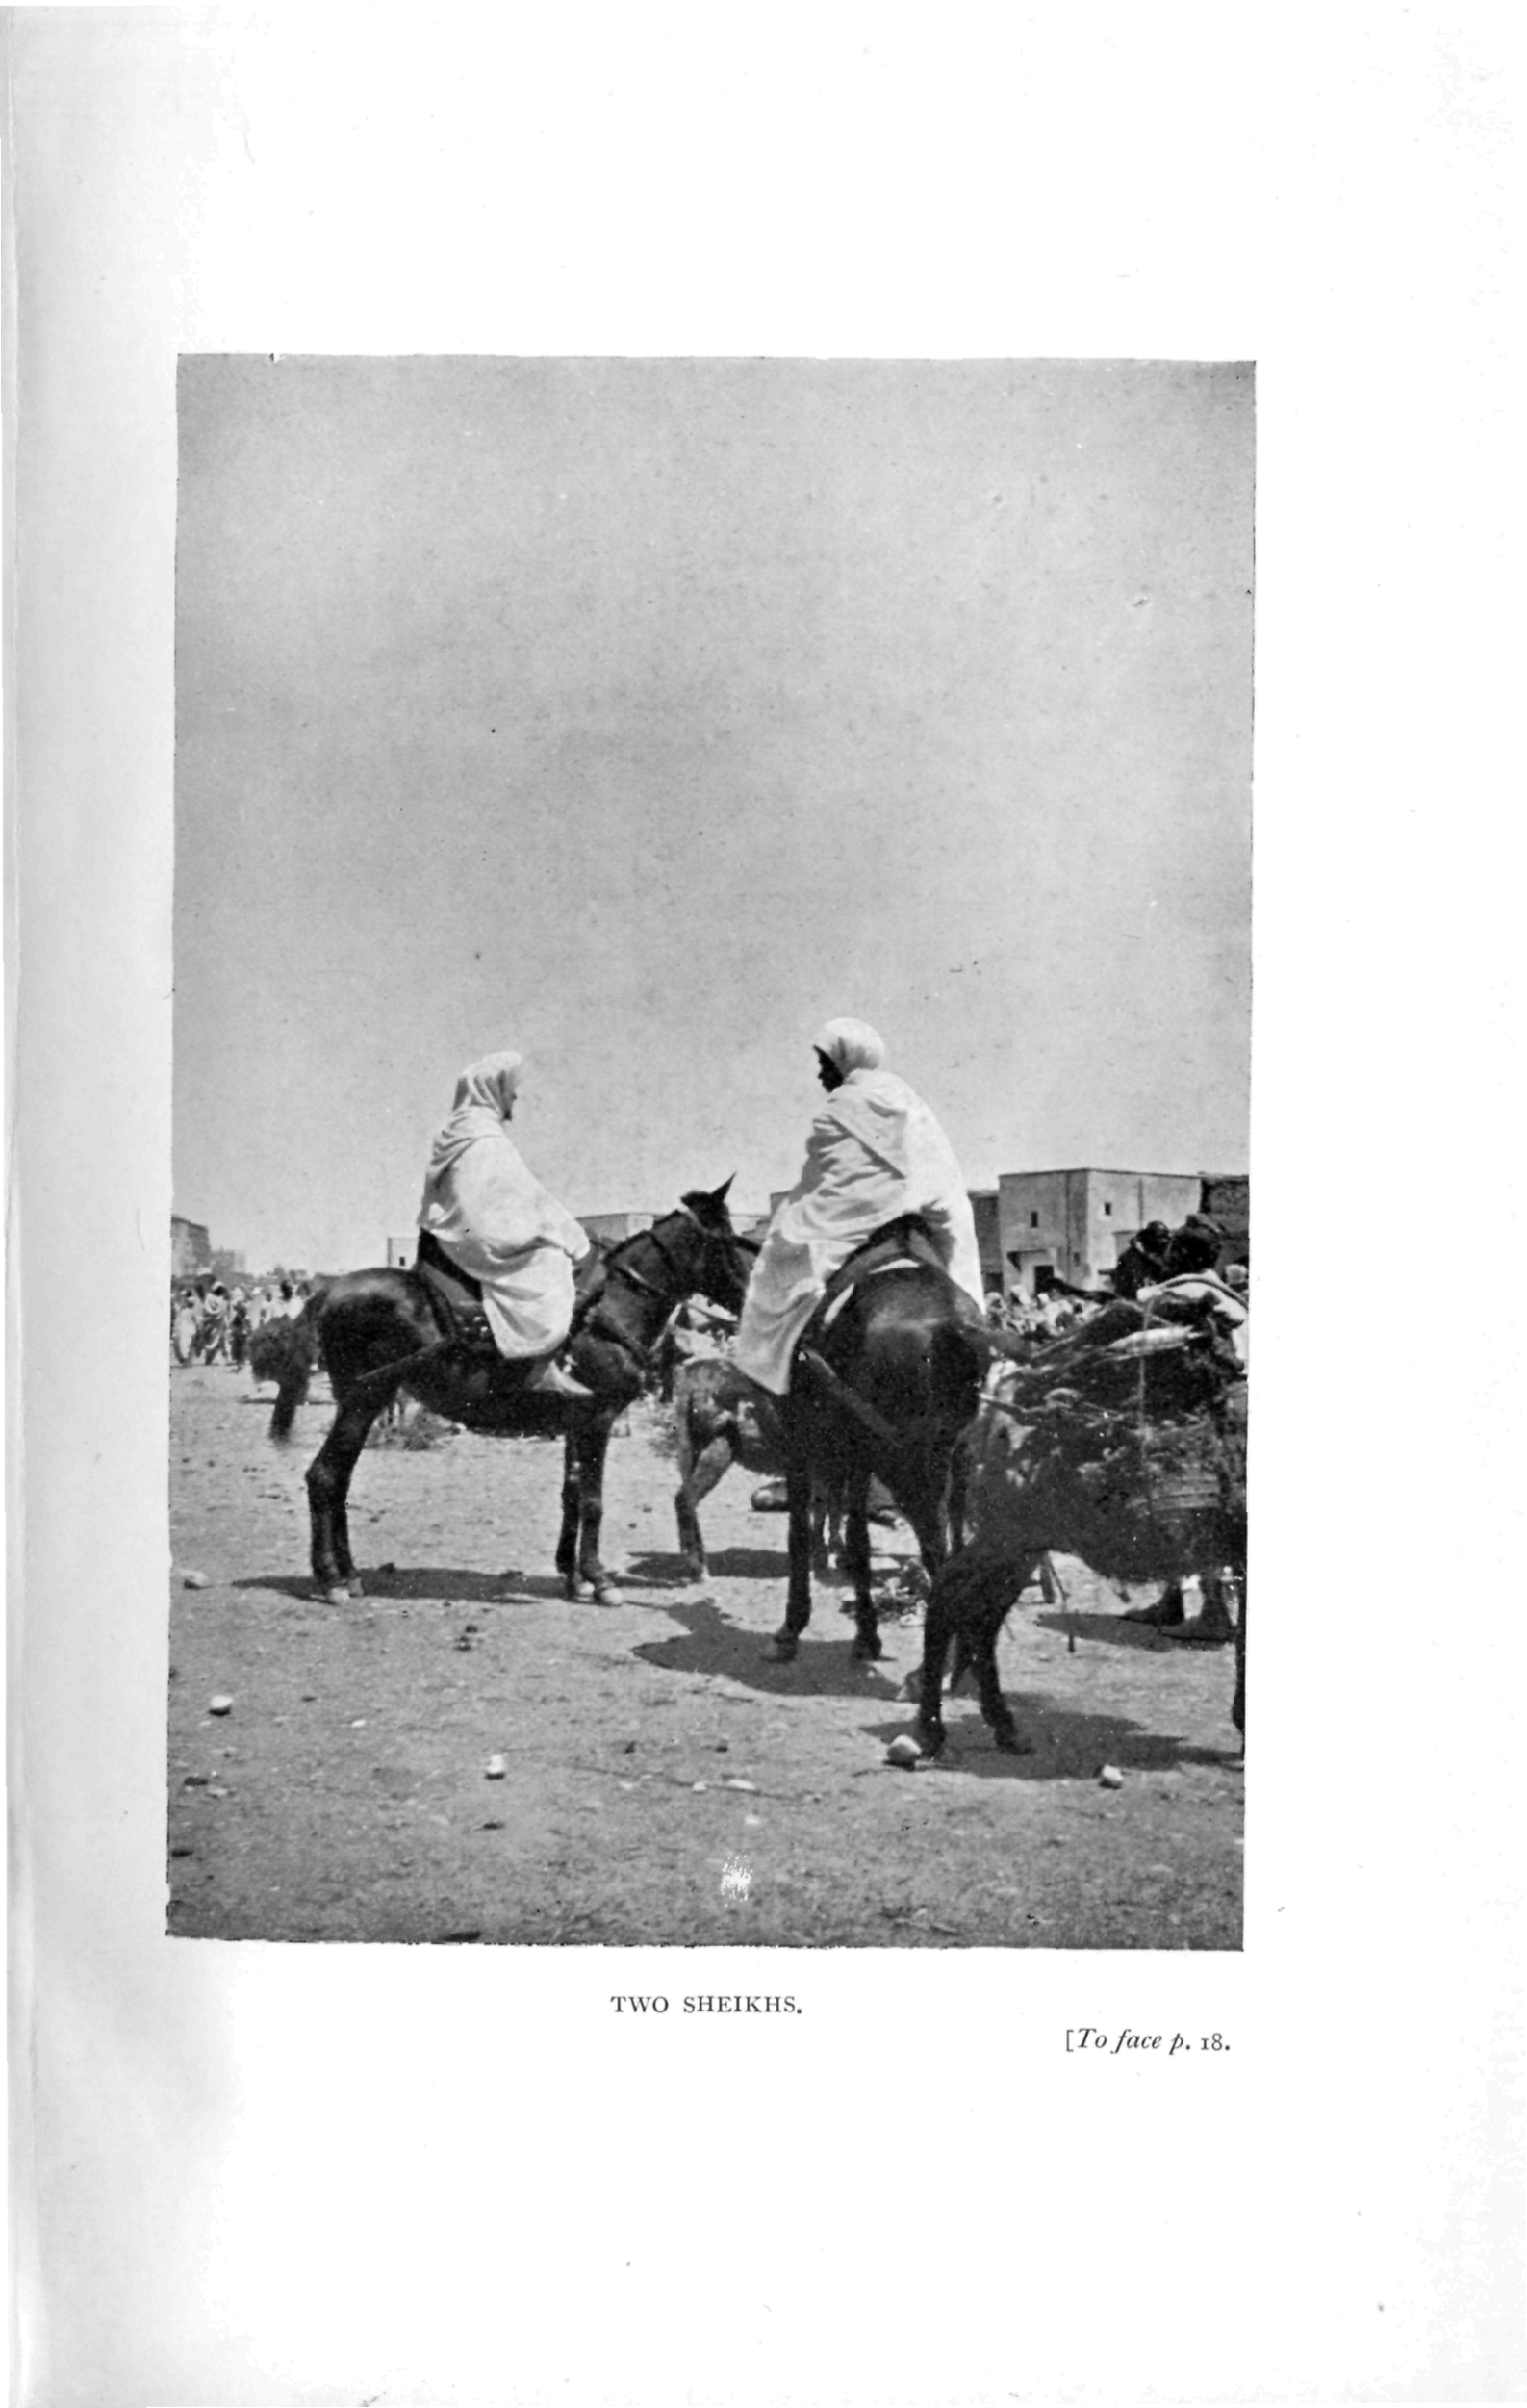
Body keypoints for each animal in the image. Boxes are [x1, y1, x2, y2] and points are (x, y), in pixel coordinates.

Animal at [269, 1182, 751, 1607]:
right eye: (730, 1241)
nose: (751, 1301)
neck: (611, 1309)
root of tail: (330, 1291)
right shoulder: (598, 1418)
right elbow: (593, 1501)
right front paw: (599, 1580)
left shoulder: (577, 1421)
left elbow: (572, 1493)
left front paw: (573, 1577)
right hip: (362, 1398)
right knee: (325, 1476)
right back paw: (331, 1580)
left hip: (364, 1401)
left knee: (339, 1479)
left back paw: (349, 1575)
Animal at [763, 1217, 990, 1667]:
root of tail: (953, 1328)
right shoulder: (857, 1456)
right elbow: (855, 1538)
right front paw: (867, 1634)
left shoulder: (804, 1442)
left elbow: (803, 1533)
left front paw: (793, 1627)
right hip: (952, 1459)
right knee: (953, 1545)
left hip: (909, 1467)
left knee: (935, 1547)